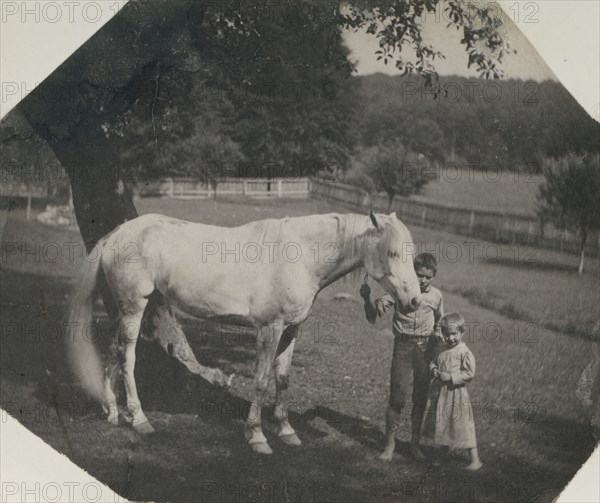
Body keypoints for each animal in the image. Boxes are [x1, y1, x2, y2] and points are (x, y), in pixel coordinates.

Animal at [68, 211, 420, 454]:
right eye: (392, 253)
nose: (415, 301)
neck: (300, 255)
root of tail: (117, 233)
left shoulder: (291, 330)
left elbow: (282, 379)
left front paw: (286, 431)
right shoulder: (269, 330)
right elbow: (261, 381)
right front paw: (257, 436)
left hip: (126, 310)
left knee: (113, 352)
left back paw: (113, 412)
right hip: (134, 308)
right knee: (127, 358)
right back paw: (140, 420)